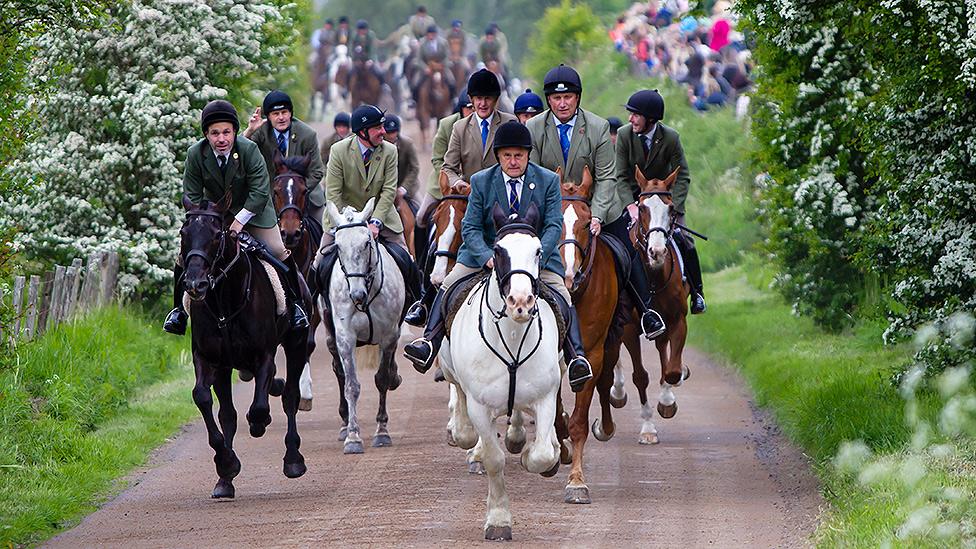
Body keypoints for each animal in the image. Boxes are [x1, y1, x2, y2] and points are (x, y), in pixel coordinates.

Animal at [179, 195, 308, 498]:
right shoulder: (210, 360)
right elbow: (204, 399)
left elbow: (260, 406)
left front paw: (259, 423)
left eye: (217, 235)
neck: (224, 302)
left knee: (290, 397)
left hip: (297, 345)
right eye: (183, 234)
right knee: (228, 414)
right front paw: (226, 463)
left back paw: (293, 459)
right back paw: (225, 480)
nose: (194, 284)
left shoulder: (264, 356)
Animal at [320, 199, 404, 452]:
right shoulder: (345, 337)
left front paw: (382, 432)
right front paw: (353, 437)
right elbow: (351, 385)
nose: (356, 295)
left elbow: (382, 379)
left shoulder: (389, 335)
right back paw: (344, 424)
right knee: (339, 372)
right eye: (338, 247)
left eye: (367, 242)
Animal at [438, 206, 560, 540]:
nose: (520, 302)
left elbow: (543, 453)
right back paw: (465, 435)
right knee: (461, 402)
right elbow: (495, 460)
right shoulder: (480, 405)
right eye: (497, 250)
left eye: (538, 250)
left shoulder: (545, 396)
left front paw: (534, 456)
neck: (513, 336)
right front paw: (498, 520)